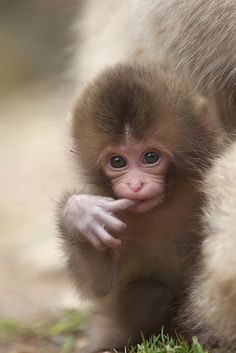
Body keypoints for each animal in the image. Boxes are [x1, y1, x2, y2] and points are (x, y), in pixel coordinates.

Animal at [58, 64, 220, 352]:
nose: (135, 185)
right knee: (150, 293)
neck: (165, 202)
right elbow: (99, 284)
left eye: (150, 157)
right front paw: (80, 214)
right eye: (117, 161)